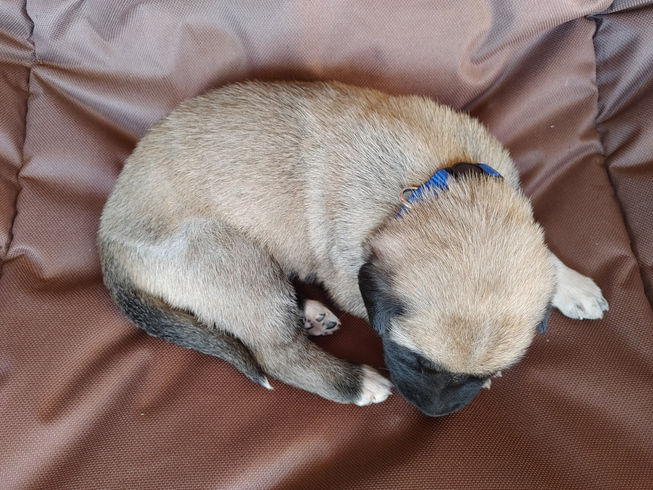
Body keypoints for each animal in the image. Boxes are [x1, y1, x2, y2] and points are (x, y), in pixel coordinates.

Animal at [98, 81, 608, 416]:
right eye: (413, 360)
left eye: (478, 377)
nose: (433, 415)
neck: (432, 186)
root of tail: (107, 237)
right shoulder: (353, 281)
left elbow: (544, 257)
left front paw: (573, 286)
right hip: (231, 257)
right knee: (275, 353)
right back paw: (354, 382)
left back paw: (310, 315)